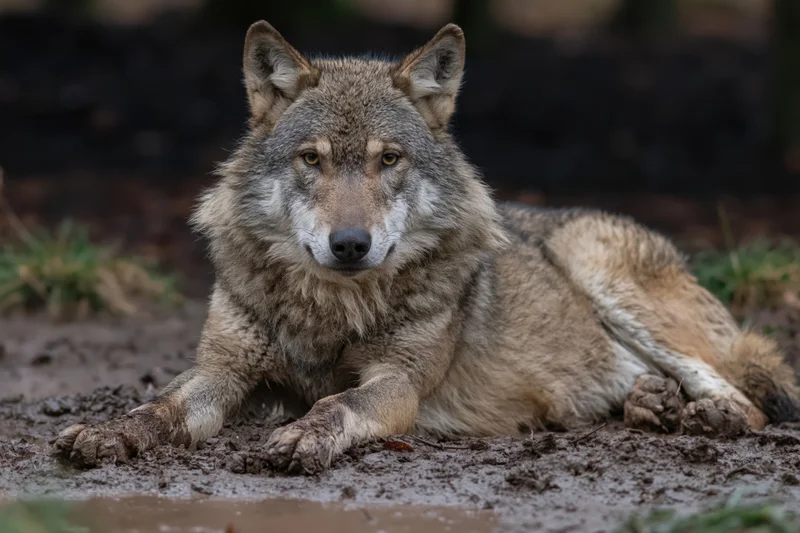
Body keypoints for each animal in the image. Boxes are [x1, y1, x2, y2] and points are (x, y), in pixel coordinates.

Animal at [55, 21, 799, 473]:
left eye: (389, 159)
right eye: (311, 159)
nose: (350, 244)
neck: (332, 308)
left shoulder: (399, 383)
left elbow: (338, 404)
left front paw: (303, 434)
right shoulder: (224, 371)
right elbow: (161, 406)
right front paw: (111, 430)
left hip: (605, 273)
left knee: (749, 395)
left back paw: (705, 416)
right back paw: (653, 405)